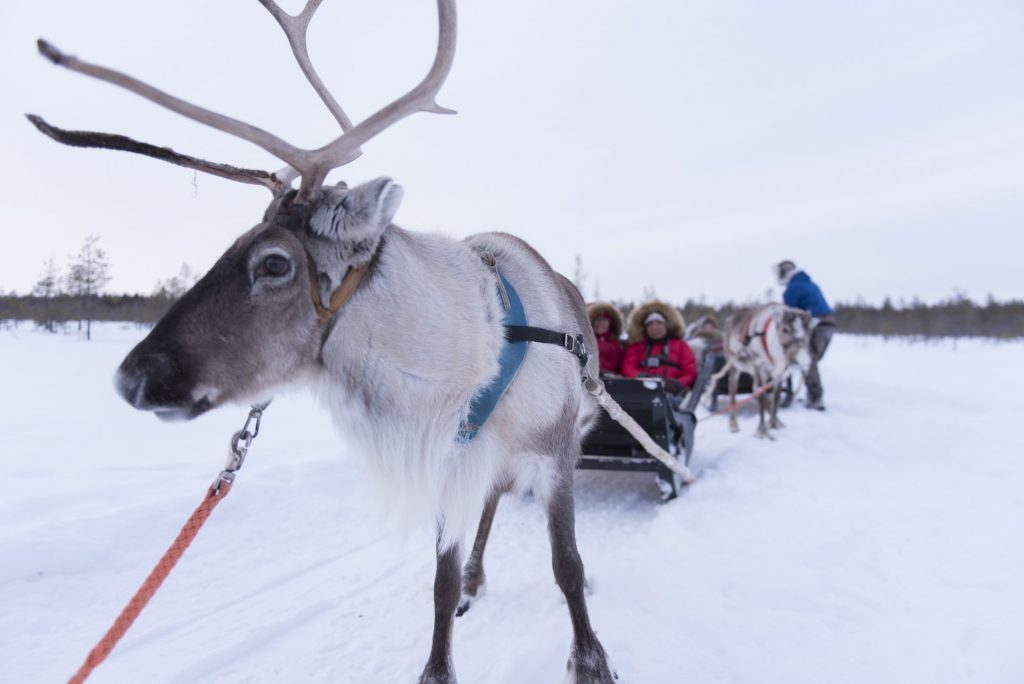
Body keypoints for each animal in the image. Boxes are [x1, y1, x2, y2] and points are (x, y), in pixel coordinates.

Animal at [27, 1, 621, 682]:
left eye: (274, 263)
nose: (133, 378)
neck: (470, 361)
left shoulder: (555, 454)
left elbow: (567, 565)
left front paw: (591, 659)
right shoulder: (449, 466)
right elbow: (440, 583)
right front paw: (441, 652)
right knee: (492, 507)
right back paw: (477, 579)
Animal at [713, 304, 812, 439]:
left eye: (809, 330)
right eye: (785, 329)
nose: (803, 360)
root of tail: (730, 318)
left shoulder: (779, 374)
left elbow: (775, 399)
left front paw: (774, 425)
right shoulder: (758, 366)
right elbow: (761, 397)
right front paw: (762, 431)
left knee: (756, 390)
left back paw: (779, 422)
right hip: (734, 365)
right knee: (733, 391)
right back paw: (733, 425)